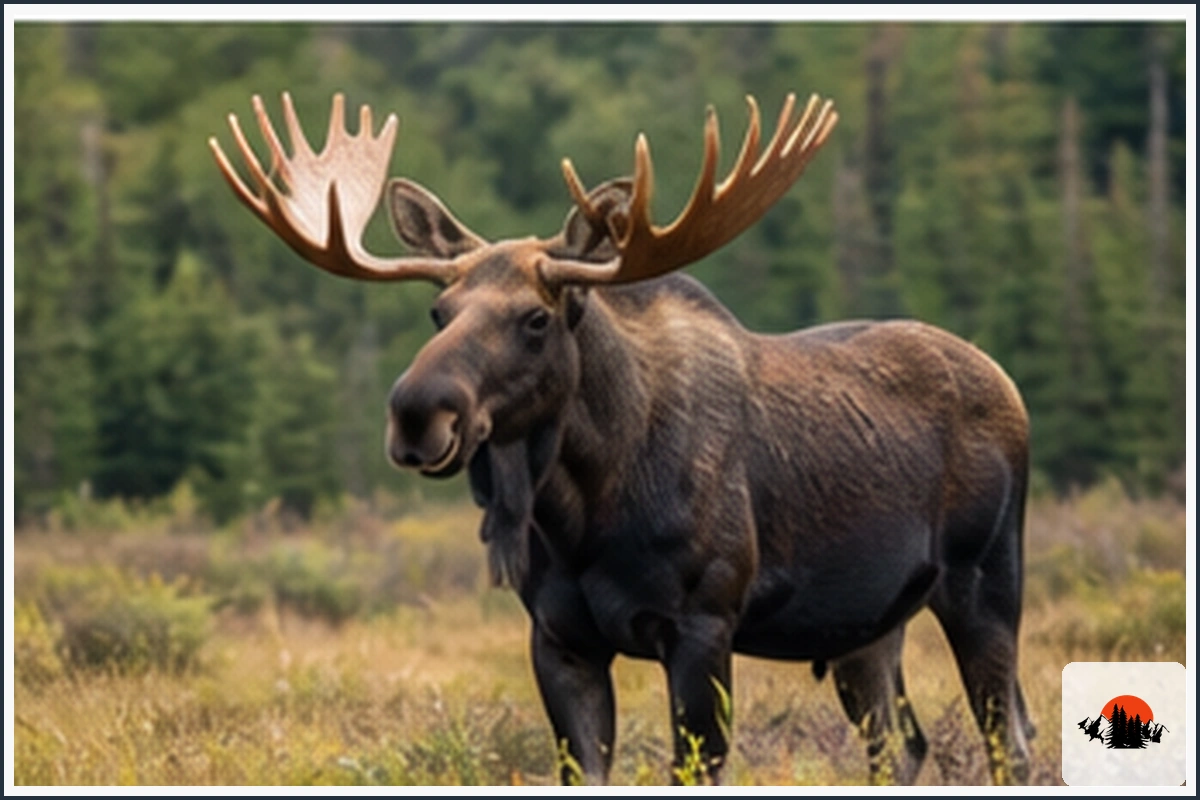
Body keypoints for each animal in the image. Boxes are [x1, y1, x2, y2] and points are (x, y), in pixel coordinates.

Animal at [210, 90, 1035, 785]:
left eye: (536, 317)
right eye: (439, 311)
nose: (418, 413)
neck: (585, 510)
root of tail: (1008, 384)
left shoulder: (702, 625)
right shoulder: (559, 637)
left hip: (985, 579)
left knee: (1010, 739)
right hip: (866, 622)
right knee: (904, 745)